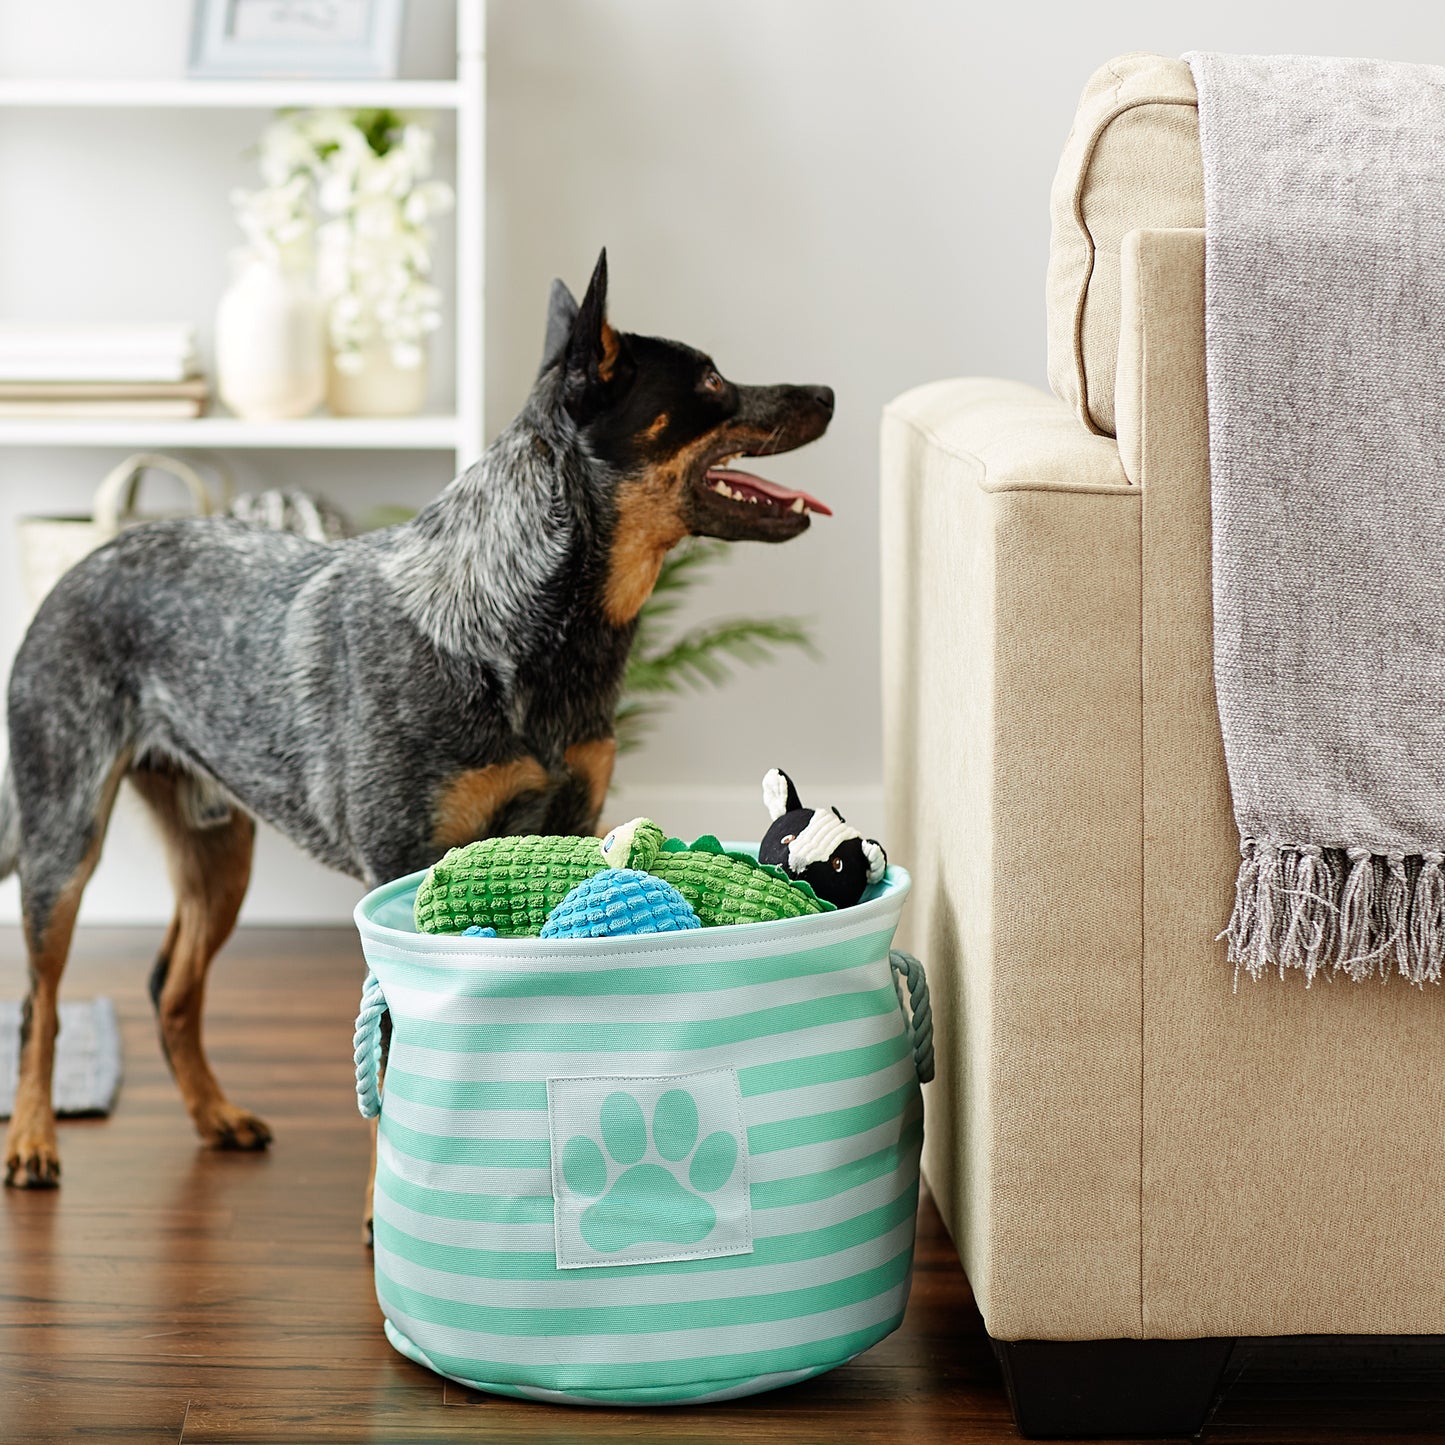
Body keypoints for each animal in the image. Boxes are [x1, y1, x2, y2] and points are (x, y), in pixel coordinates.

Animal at [0, 251, 838, 1196]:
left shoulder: (568, 826)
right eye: (710, 381)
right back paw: (31, 1140)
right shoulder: (401, 869)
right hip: (64, 843)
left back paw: (215, 1116)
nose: (827, 392)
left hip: (219, 855)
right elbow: (393, 1060)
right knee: (40, 1003)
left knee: (167, 988)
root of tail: (86, 559)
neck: (524, 625)